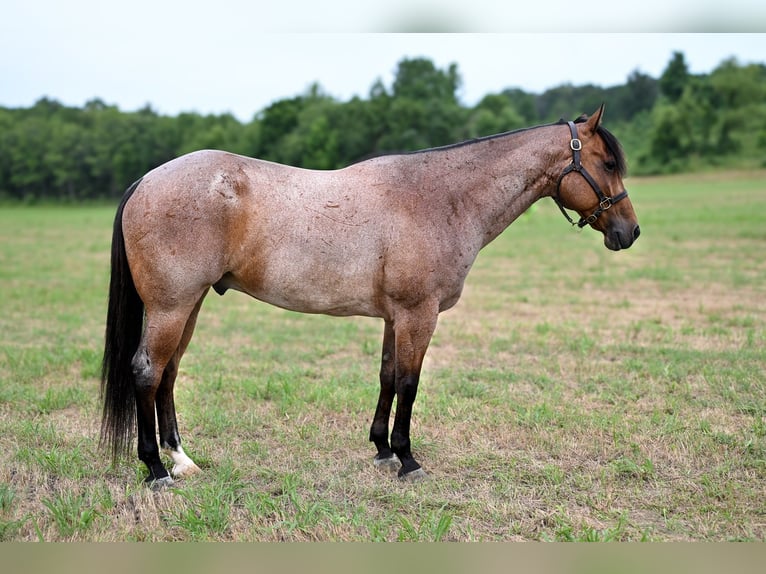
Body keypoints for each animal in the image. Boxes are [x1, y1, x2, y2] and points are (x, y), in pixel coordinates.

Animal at [100, 106, 640, 488]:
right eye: (609, 162)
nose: (629, 232)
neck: (439, 197)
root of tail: (146, 180)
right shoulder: (418, 315)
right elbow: (409, 382)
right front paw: (407, 458)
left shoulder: (393, 318)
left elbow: (386, 377)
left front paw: (381, 450)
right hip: (171, 307)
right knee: (147, 371)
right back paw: (156, 471)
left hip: (187, 307)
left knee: (168, 374)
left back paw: (181, 460)